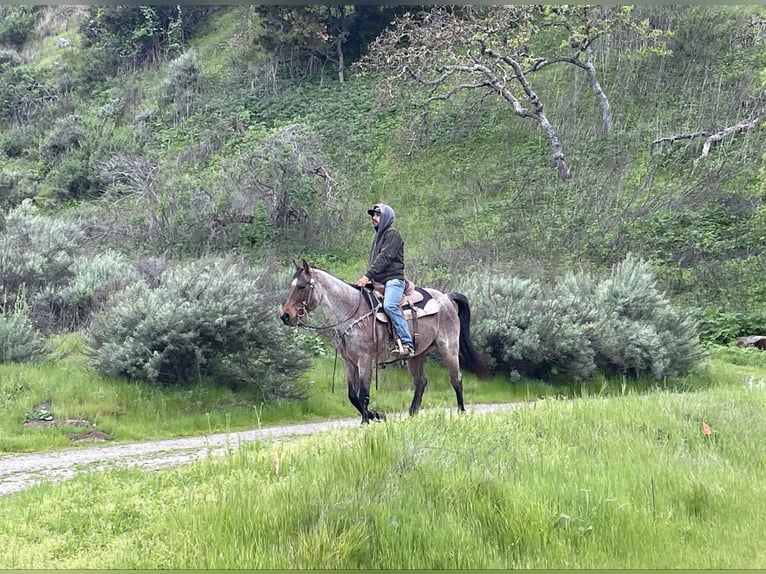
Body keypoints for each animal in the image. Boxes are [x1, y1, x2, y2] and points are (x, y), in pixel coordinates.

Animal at [280, 258, 488, 426]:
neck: (351, 312)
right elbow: (352, 396)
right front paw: (377, 415)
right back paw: (411, 415)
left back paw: (461, 413)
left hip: (449, 347)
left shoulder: (365, 360)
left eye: (302, 287)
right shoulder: (349, 363)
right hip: (417, 355)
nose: (285, 316)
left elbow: (363, 394)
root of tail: (445, 297)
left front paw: (366, 421)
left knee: (456, 379)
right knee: (420, 382)